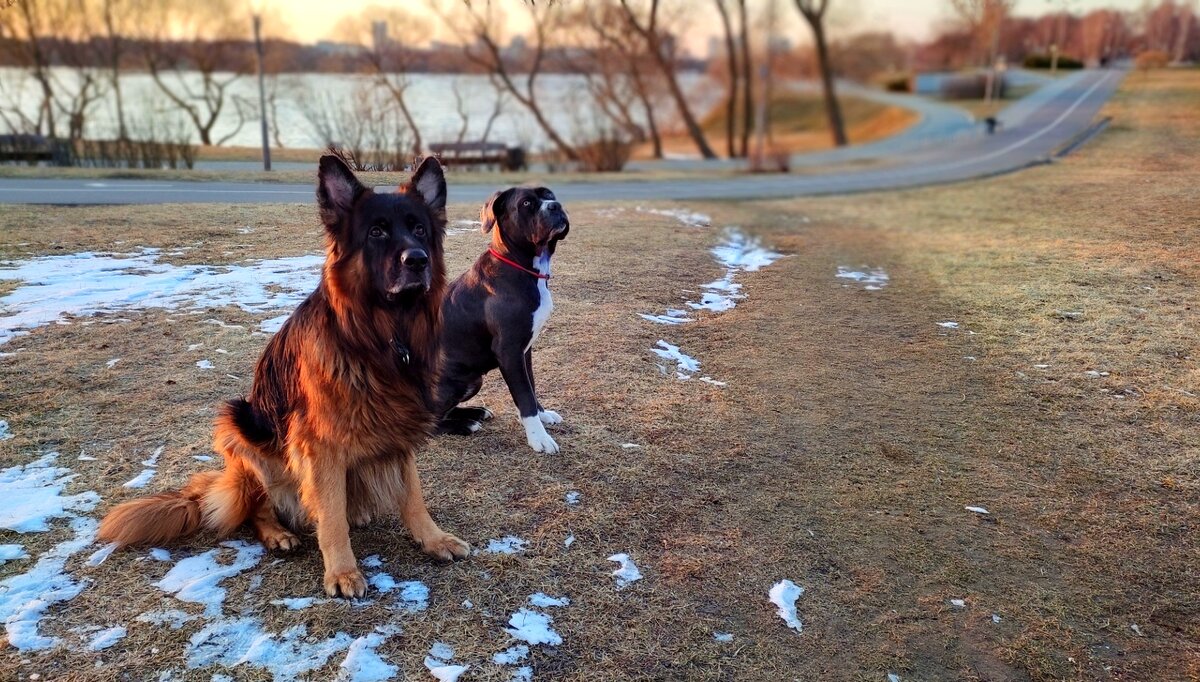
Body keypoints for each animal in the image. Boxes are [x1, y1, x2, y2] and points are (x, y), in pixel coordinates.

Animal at [436, 186, 571, 453]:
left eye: (549, 194)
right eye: (526, 203)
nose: (556, 206)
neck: (521, 265)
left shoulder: (525, 350)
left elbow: (531, 387)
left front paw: (543, 416)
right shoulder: (509, 350)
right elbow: (525, 396)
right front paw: (538, 437)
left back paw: (475, 412)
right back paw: (465, 425)